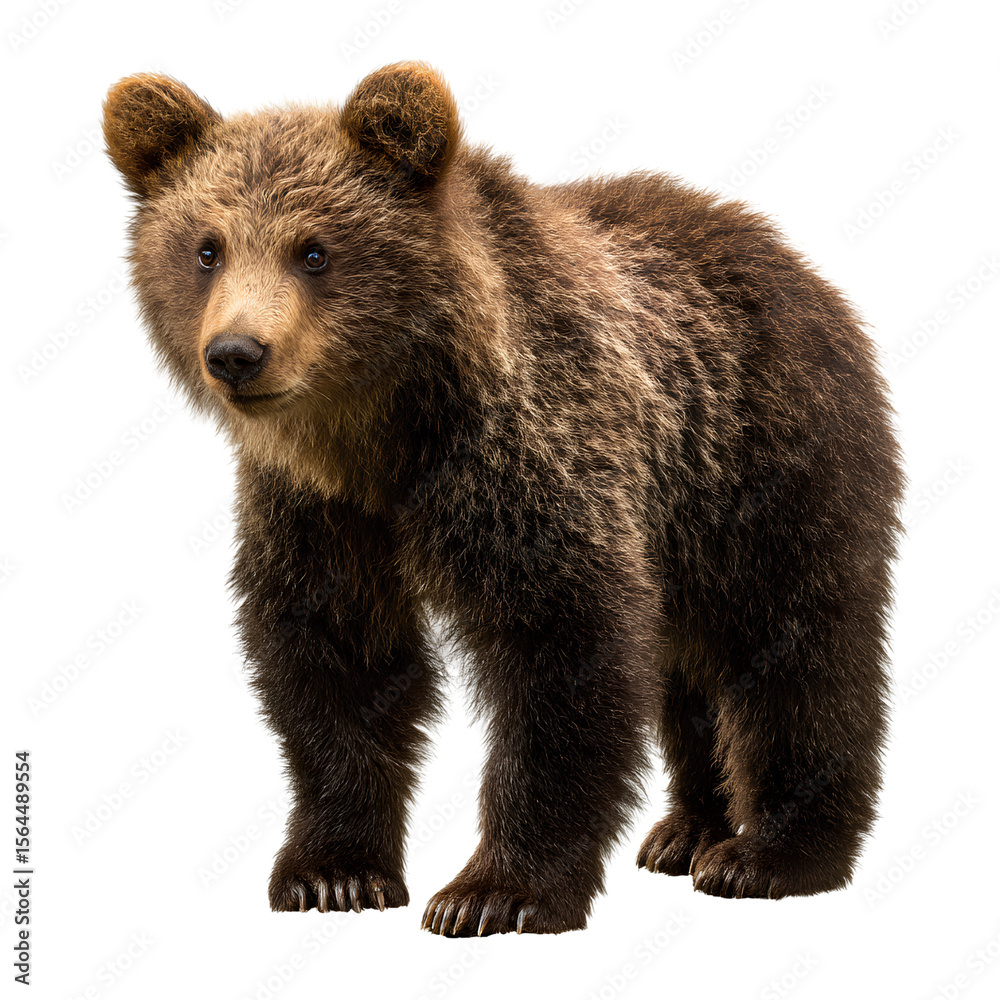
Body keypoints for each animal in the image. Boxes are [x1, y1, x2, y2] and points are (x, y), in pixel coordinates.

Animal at [102, 62, 904, 935]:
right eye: (206, 248)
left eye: (313, 250)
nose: (237, 353)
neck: (381, 436)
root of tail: (788, 256)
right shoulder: (319, 514)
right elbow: (336, 664)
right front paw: (333, 873)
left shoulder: (526, 464)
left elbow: (560, 651)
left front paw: (495, 892)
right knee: (689, 663)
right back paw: (688, 829)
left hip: (766, 463)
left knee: (797, 647)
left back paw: (767, 854)